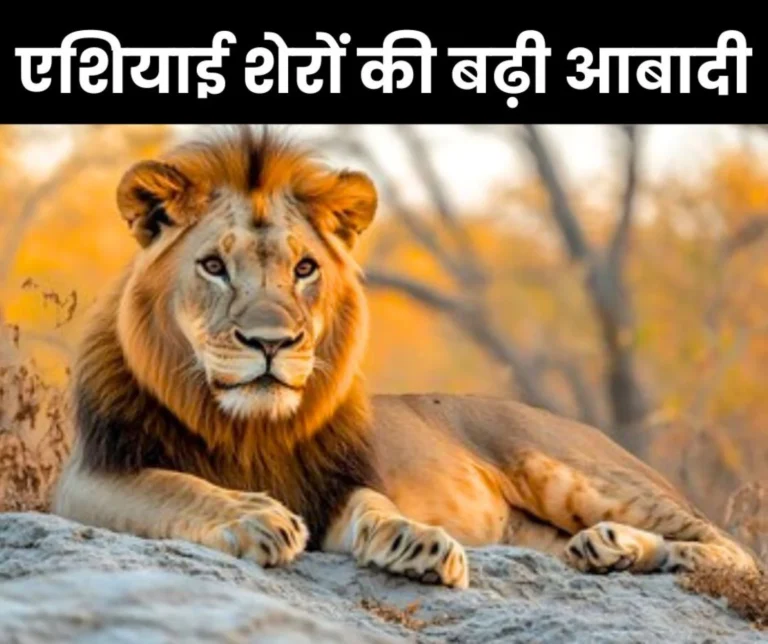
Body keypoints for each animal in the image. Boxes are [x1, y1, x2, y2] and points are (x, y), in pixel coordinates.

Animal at [52, 126, 758, 589]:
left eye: (304, 269)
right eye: (213, 266)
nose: (271, 343)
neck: (250, 426)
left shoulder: (334, 486)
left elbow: (375, 504)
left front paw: (416, 539)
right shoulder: (90, 478)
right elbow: (177, 487)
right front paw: (255, 516)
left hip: (571, 469)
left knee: (738, 549)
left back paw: (625, 546)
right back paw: (606, 551)